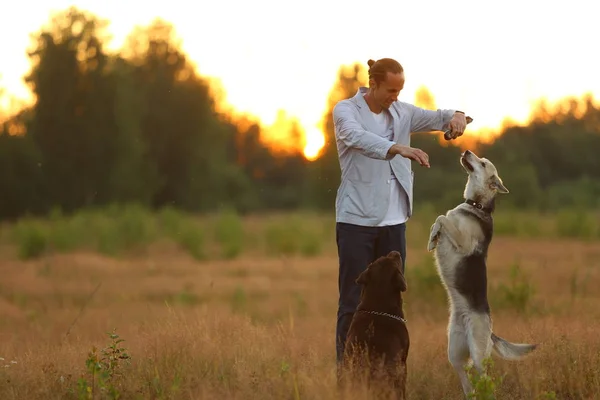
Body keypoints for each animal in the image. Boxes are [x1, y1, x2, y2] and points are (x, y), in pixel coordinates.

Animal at [426, 149, 540, 396]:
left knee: (486, 381)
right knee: (468, 382)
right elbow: (439, 220)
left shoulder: (463, 241)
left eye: (484, 163)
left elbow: (443, 217)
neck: (475, 205)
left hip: (478, 357)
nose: (467, 151)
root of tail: (490, 330)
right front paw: (432, 239)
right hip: (455, 354)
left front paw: (436, 234)